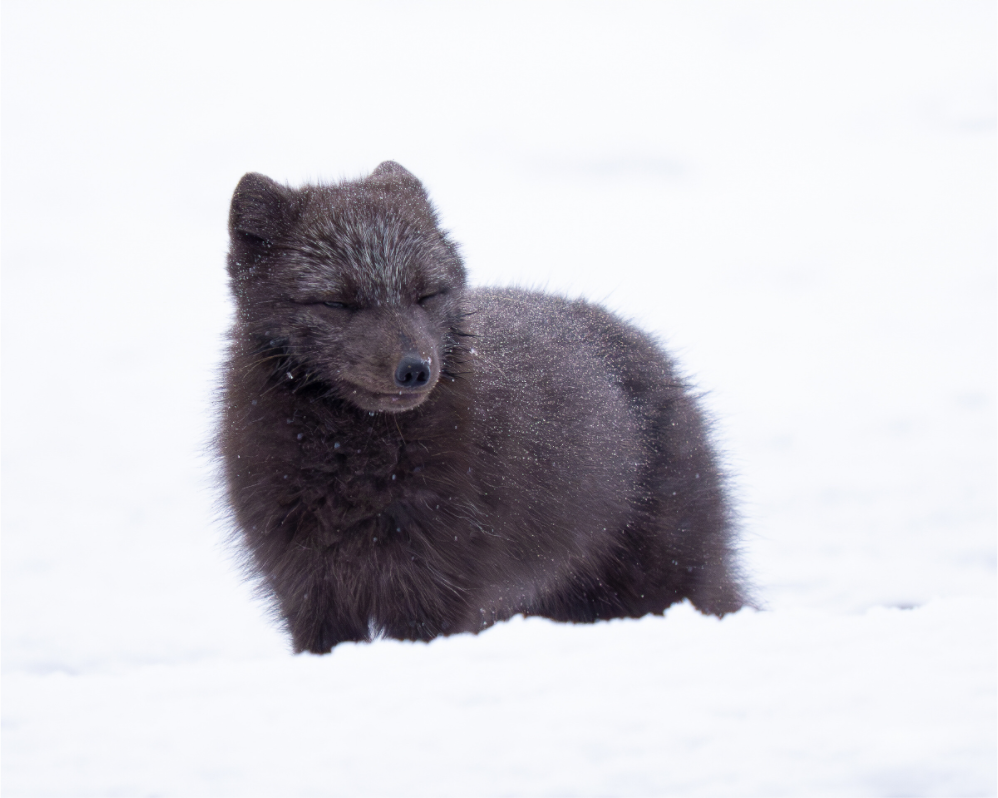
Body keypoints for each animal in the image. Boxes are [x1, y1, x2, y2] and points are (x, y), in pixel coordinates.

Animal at [218, 161, 746, 654]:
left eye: (426, 294)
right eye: (337, 302)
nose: (415, 369)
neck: (354, 465)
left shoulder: (437, 591)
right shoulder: (308, 591)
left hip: (660, 579)